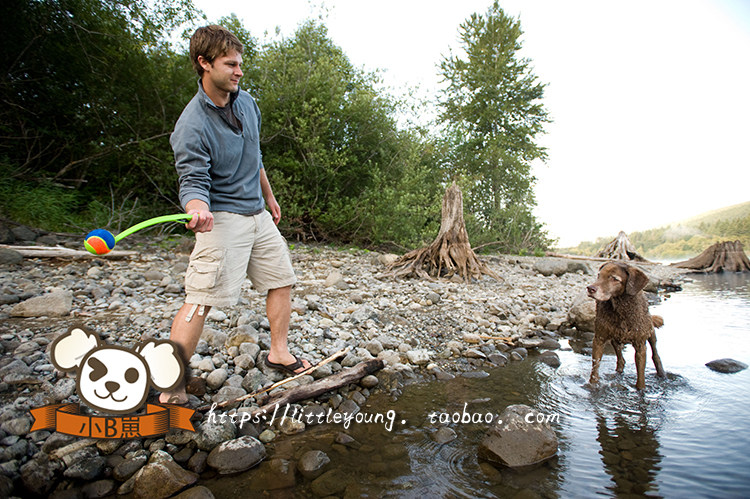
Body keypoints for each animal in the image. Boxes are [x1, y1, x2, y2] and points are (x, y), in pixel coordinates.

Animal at [586, 262, 665, 390]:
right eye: (599, 275)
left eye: (614, 278)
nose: (590, 288)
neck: (620, 310)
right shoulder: (599, 338)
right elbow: (595, 366)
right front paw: (593, 385)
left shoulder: (640, 346)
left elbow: (641, 376)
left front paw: (641, 390)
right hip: (615, 338)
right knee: (621, 359)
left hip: (650, 332)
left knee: (655, 354)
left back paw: (661, 373)